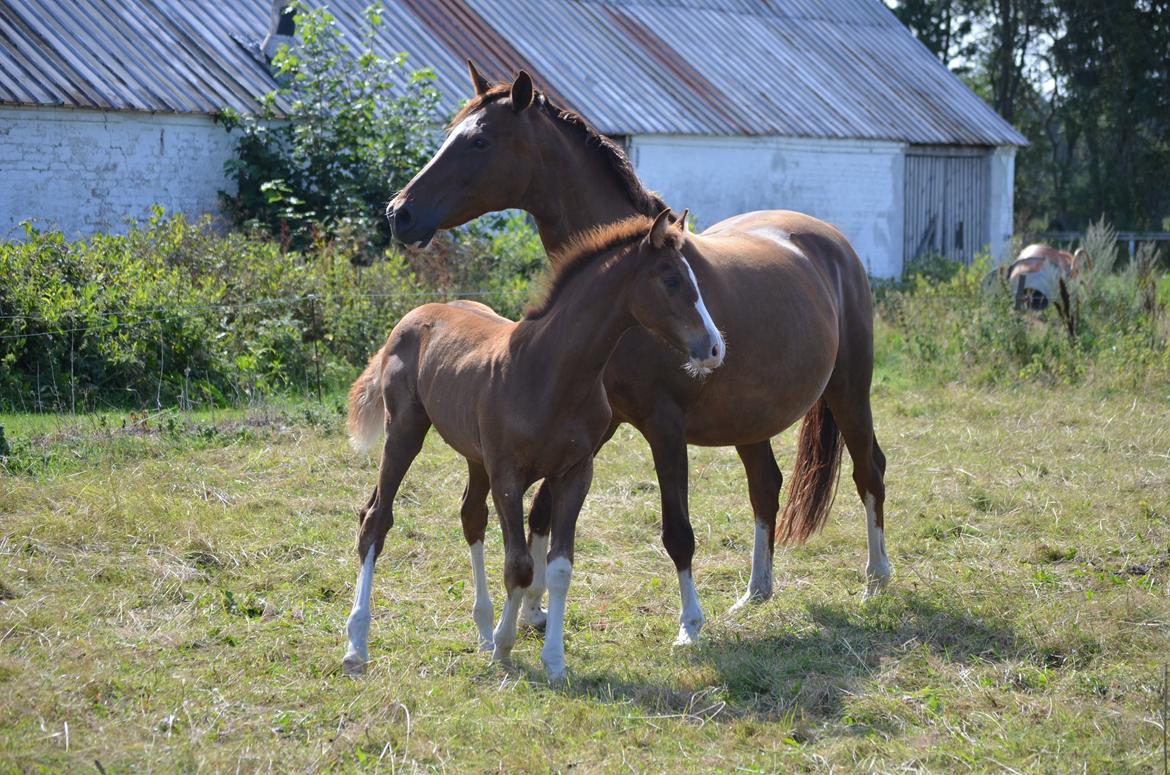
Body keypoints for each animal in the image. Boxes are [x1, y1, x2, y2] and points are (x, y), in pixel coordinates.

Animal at [339, 213, 720, 679]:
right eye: (670, 280)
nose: (715, 348)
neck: (549, 370)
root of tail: (413, 315)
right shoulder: (508, 473)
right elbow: (519, 564)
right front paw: (506, 648)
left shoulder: (575, 472)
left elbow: (558, 566)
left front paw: (551, 659)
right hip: (406, 431)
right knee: (376, 518)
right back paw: (357, 646)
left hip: (475, 456)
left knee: (470, 516)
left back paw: (482, 630)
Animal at [388, 68, 889, 650]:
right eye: (451, 133)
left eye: (480, 141)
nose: (399, 213)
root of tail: (831, 241)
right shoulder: (594, 429)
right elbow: (541, 512)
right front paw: (534, 611)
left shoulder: (662, 425)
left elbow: (677, 532)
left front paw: (689, 626)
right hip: (751, 420)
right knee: (766, 487)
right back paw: (756, 592)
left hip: (849, 391)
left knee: (869, 471)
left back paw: (876, 581)